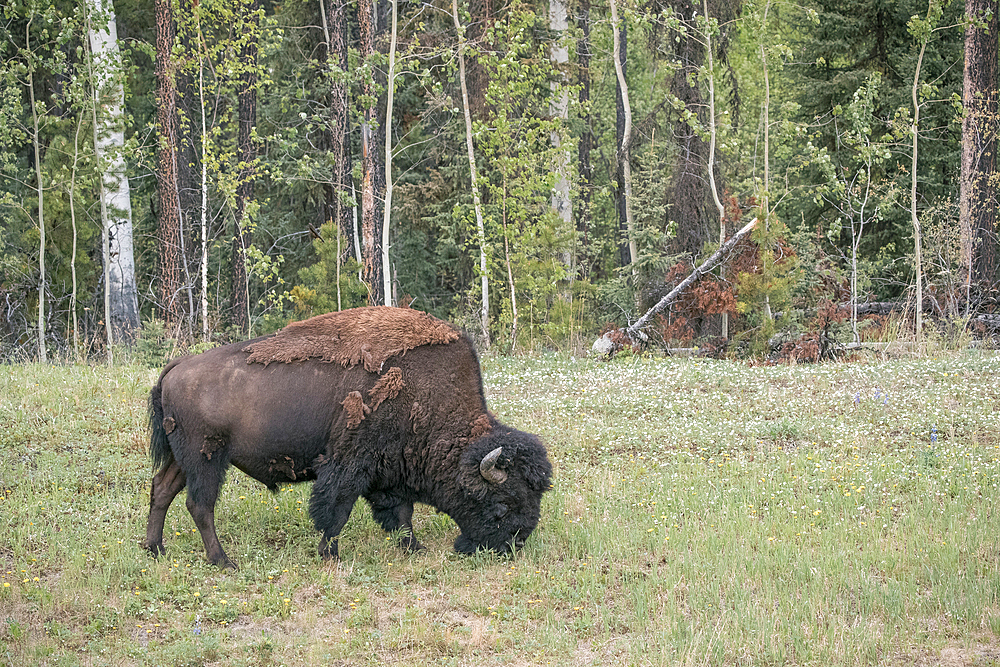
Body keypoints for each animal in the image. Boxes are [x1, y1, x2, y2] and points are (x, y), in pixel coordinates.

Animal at [143, 308, 556, 568]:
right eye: (502, 503)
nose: (511, 546)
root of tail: (176, 366)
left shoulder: (391, 471)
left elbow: (401, 513)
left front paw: (413, 547)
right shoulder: (349, 464)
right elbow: (336, 510)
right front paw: (331, 555)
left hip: (182, 458)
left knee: (162, 490)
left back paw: (155, 550)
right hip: (207, 458)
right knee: (200, 505)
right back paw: (224, 562)